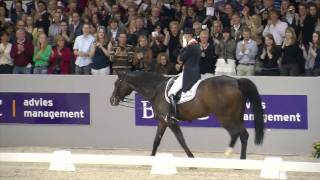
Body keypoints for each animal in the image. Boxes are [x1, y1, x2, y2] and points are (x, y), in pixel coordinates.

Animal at [109, 71, 264, 160]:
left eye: (116, 84)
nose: (112, 100)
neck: (156, 89)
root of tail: (236, 81)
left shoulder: (171, 121)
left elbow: (181, 140)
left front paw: (191, 157)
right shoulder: (163, 122)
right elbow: (156, 141)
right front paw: (151, 158)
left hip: (225, 117)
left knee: (236, 133)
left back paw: (228, 153)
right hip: (237, 116)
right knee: (244, 135)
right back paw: (242, 160)